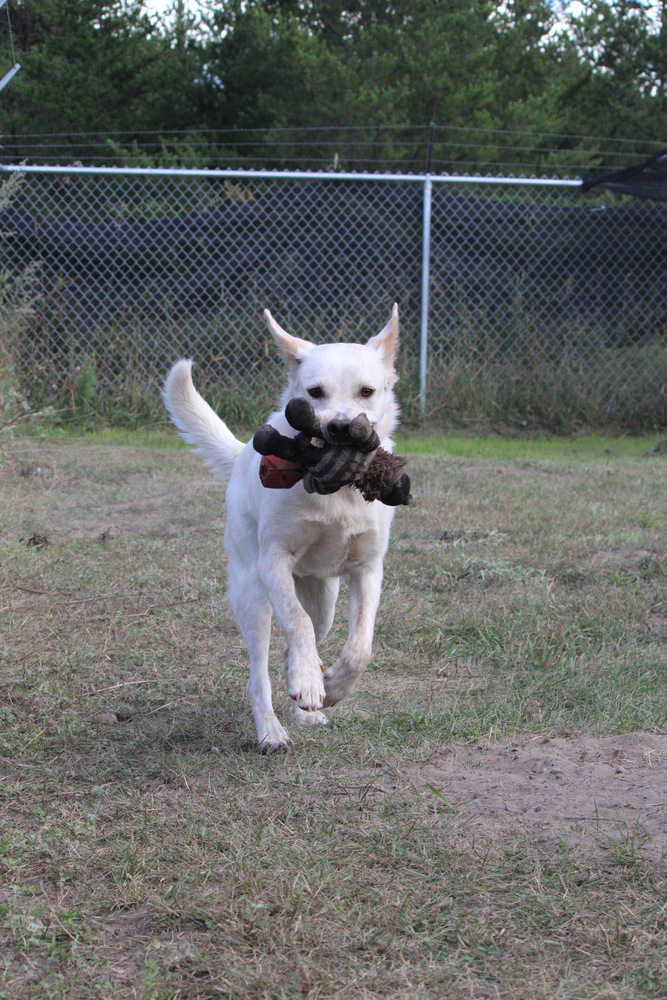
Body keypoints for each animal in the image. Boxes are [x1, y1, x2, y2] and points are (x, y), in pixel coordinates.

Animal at [162, 304, 402, 752]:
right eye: (314, 392)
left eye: (366, 392)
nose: (340, 428)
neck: (337, 490)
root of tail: (243, 451)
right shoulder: (274, 562)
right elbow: (295, 621)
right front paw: (311, 683)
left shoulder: (368, 569)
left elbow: (360, 645)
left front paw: (333, 686)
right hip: (253, 596)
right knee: (260, 673)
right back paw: (272, 729)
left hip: (323, 599)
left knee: (300, 643)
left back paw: (306, 699)